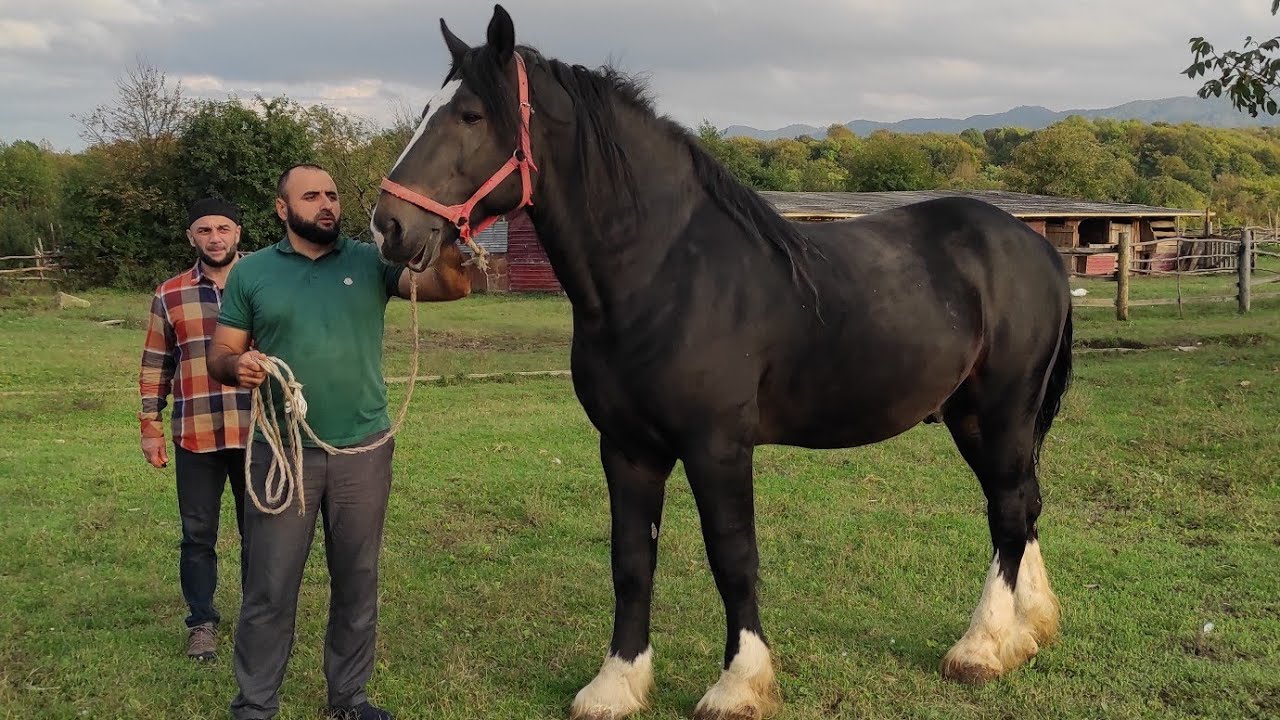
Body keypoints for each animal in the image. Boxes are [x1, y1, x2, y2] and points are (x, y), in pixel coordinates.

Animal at [369, 6, 1073, 719]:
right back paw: (1029, 630)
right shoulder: (626, 447)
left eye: (471, 116)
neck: (666, 271)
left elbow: (733, 556)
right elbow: (631, 562)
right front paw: (617, 683)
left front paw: (739, 684)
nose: (387, 225)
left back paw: (981, 648)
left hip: (1002, 411)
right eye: (429, 109)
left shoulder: (718, 447)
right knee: (1023, 503)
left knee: (1007, 510)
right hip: (971, 418)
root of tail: (1037, 249)